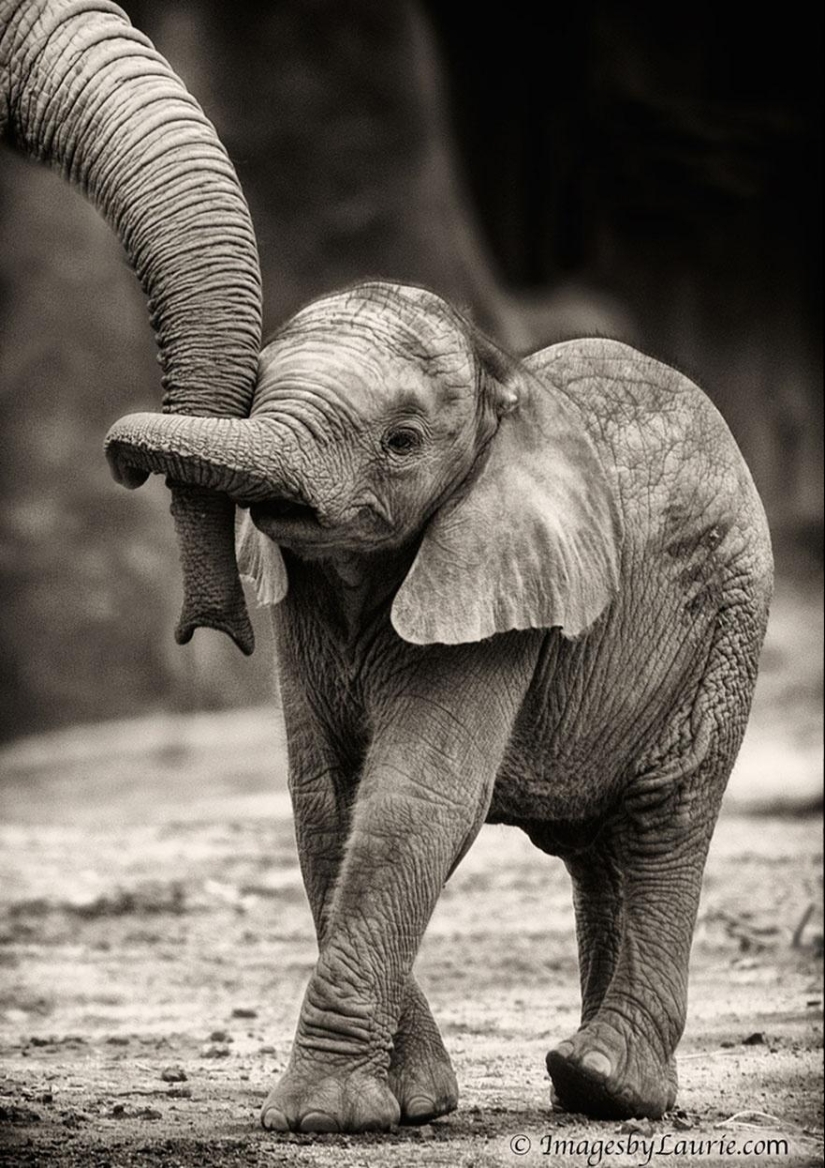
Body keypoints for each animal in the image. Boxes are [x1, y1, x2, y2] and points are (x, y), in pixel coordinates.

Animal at [107, 280, 771, 1130]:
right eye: (254, 395)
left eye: (402, 442)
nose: (125, 469)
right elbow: (326, 806)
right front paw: (414, 1103)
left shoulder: (496, 577)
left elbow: (413, 803)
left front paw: (320, 1118)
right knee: (599, 853)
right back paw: (582, 1087)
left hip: (724, 623)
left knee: (664, 817)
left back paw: (610, 1084)